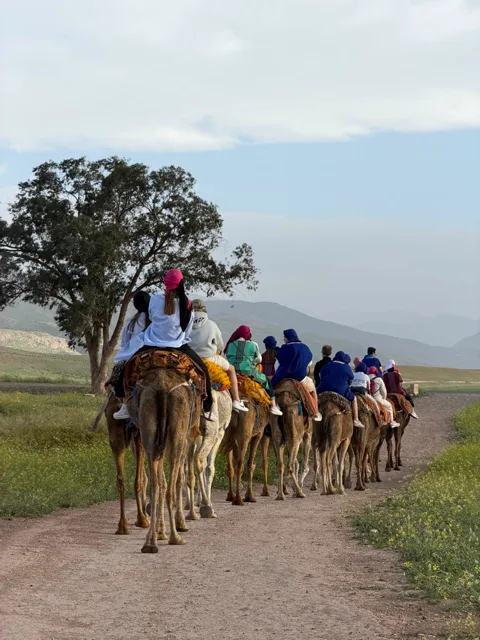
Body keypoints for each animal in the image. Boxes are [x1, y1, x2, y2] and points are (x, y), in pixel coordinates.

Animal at [128, 368, 201, 552]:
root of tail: (162, 388)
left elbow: (161, 481)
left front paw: (161, 532)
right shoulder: (187, 437)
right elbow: (180, 479)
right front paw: (180, 524)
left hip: (148, 425)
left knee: (155, 485)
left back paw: (150, 542)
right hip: (178, 431)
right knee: (170, 487)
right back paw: (176, 537)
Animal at [185, 389, 232, 520]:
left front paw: (198, 502)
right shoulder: (220, 432)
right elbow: (210, 467)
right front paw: (205, 504)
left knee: (187, 467)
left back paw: (191, 510)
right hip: (211, 432)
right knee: (199, 459)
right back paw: (206, 506)